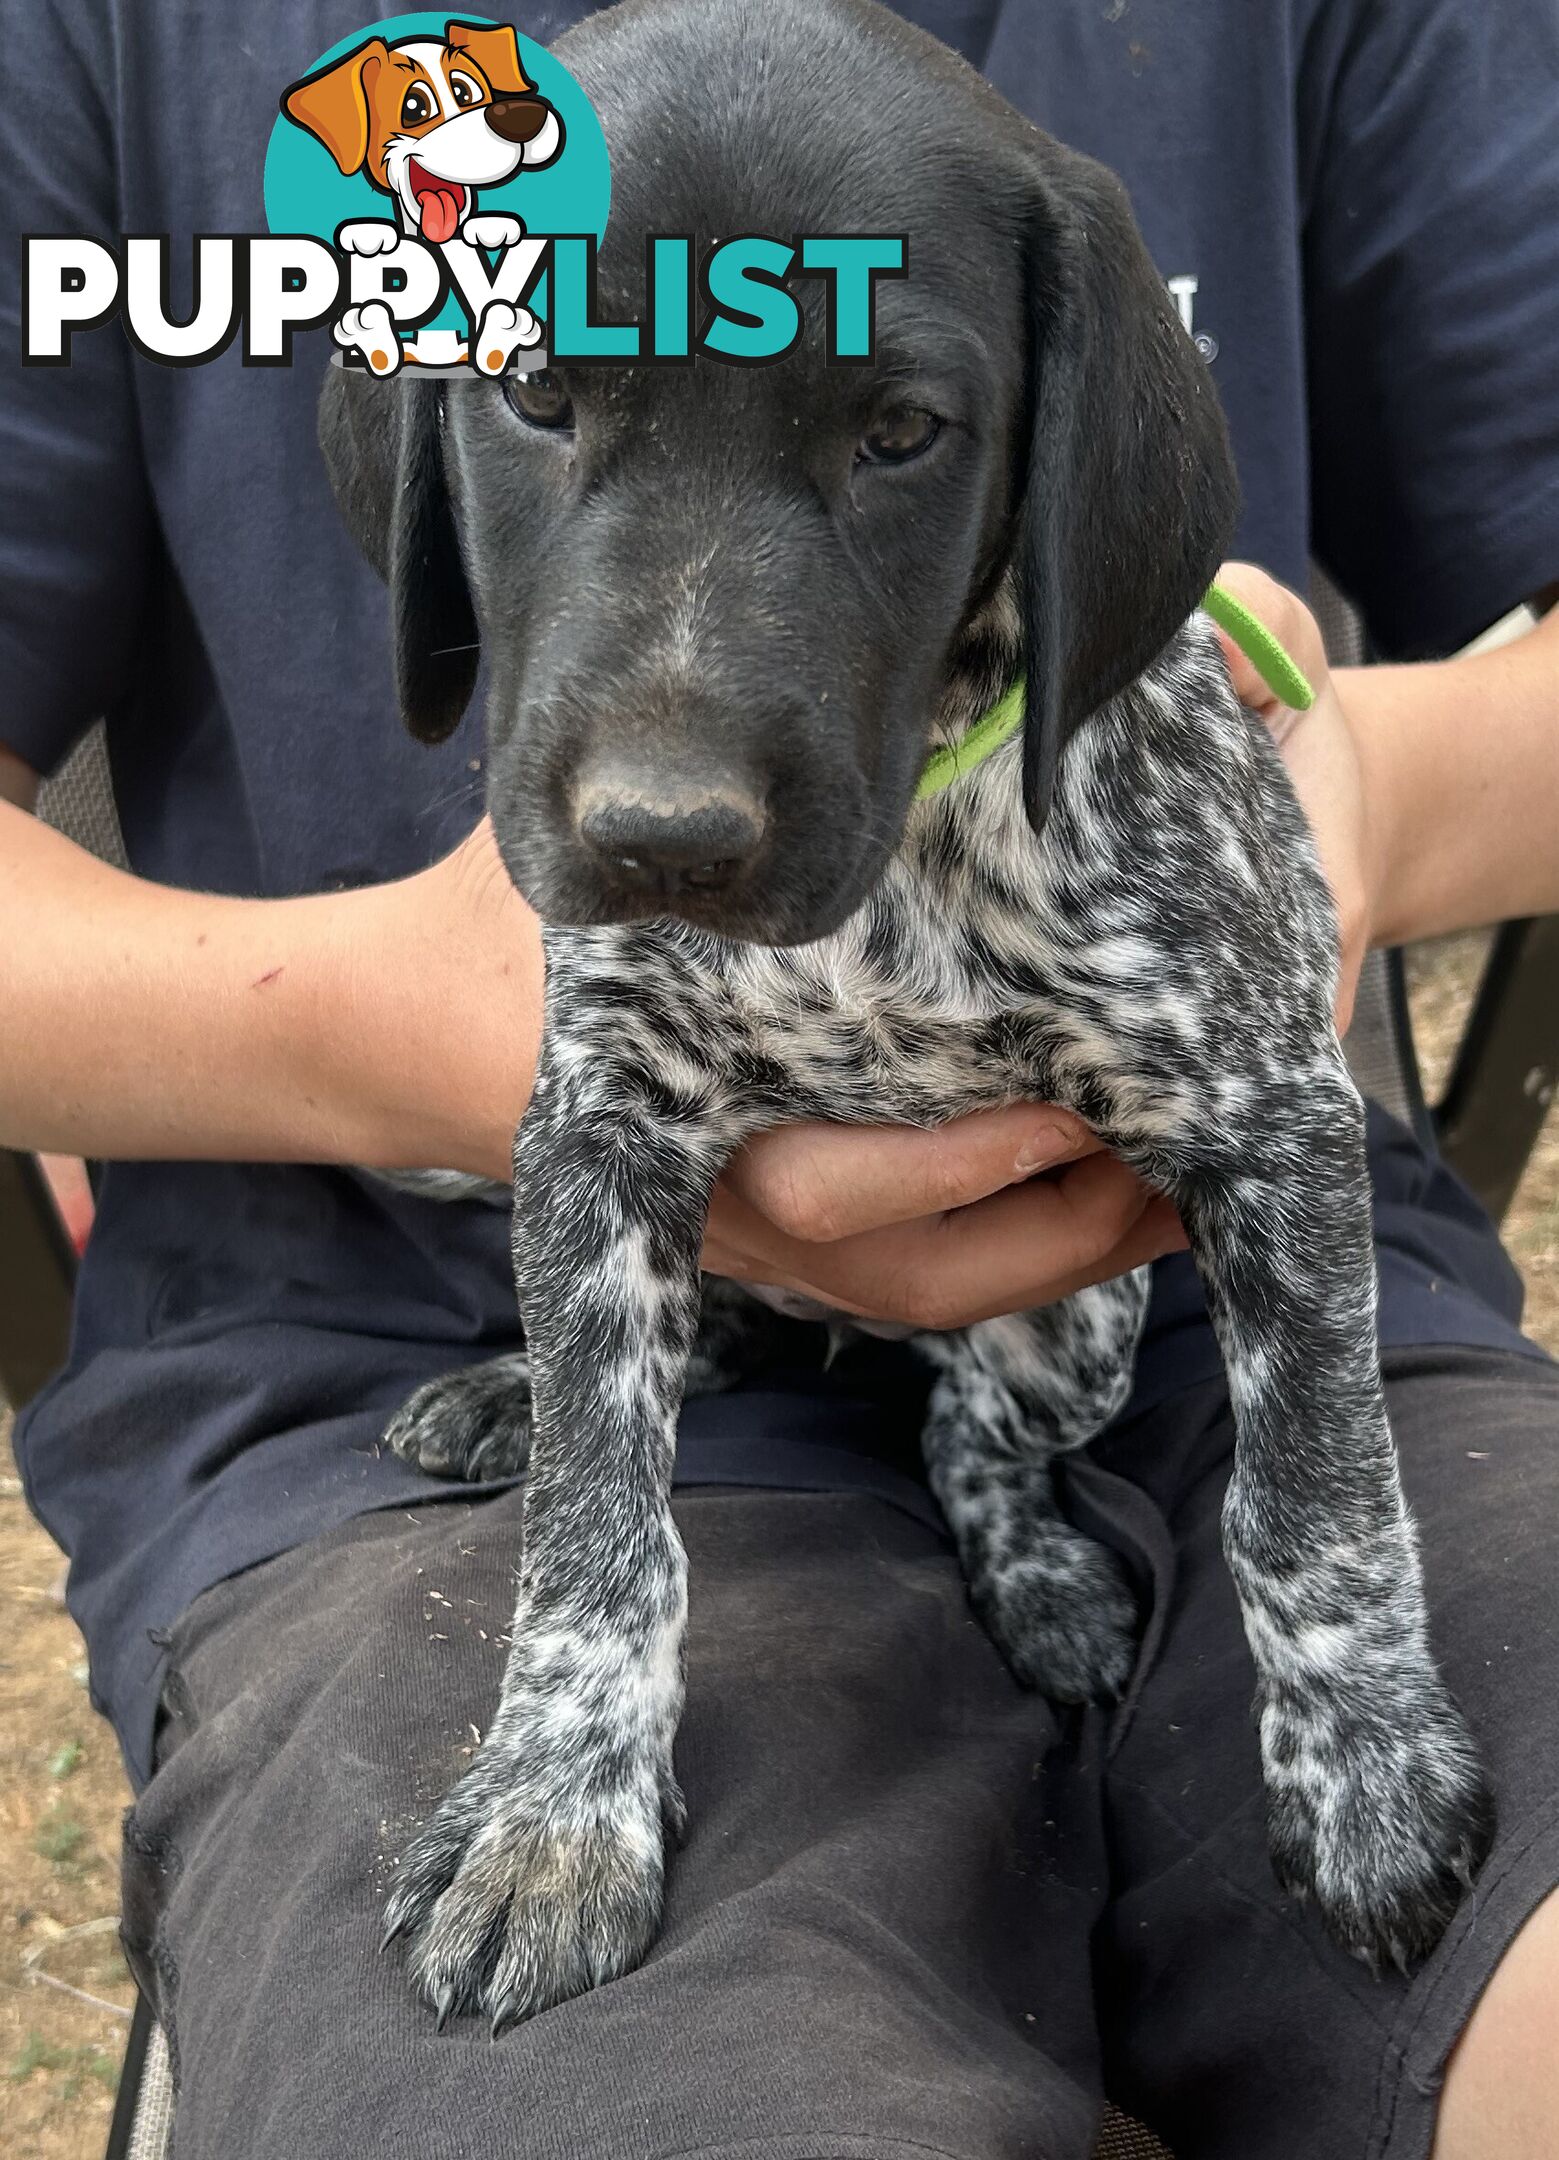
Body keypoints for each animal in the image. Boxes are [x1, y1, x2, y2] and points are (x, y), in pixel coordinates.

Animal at [319, 0, 1494, 2030]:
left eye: (898, 435)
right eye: (531, 394)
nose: (661, 842)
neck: (893, 897)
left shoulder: (1270, 1130)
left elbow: (1315, 1491)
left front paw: (1364, 1776)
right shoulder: (597, 1131)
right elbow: (596, 1526)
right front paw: (553, 1808)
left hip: (1074, 1324)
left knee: (965, 1437)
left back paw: (1037, 1581)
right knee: (682, 1352)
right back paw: (504, 1389)